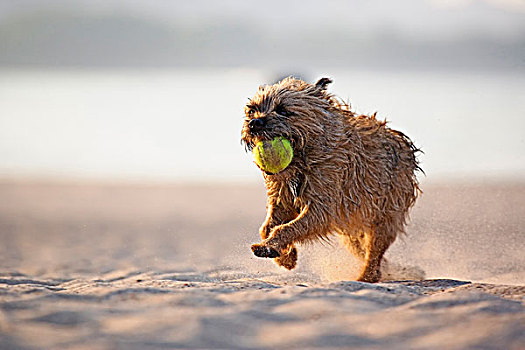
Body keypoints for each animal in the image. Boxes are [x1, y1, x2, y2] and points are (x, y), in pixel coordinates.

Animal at [239, 76, 420, 282]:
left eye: (283, 110)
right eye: (252, 109)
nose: (254, 123)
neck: (304, 159)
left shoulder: (322, 208)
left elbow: (286, 227)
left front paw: (271, 247)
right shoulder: (281, 200)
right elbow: (267, 227)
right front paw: (286, 257)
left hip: (386, 213)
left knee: (375, 250)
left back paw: (367, 276)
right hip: (352, 229)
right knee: (363, 249)